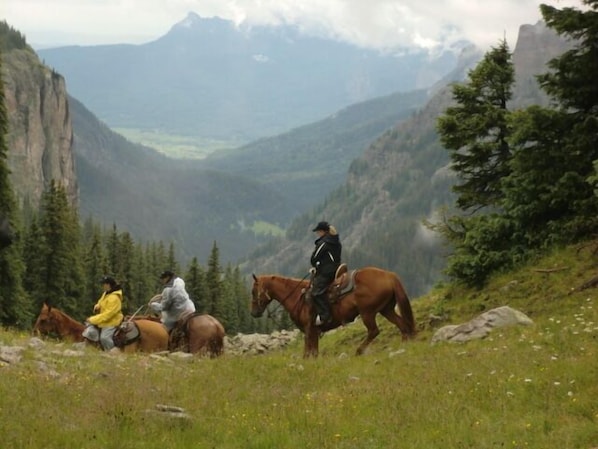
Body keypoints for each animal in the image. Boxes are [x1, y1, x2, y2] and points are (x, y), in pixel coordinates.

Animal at [252, 266, 418, 356]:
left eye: (253, 291)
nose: (253, 313)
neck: (297, 295)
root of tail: (389, 275)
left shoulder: (309, 329)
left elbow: (308, 352)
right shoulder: (313, 331)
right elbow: (313, 352)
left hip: (367, 312)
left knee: (374, 331)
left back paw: (358, 351)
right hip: (386, 310)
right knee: (403, 325)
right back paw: (404, 345)